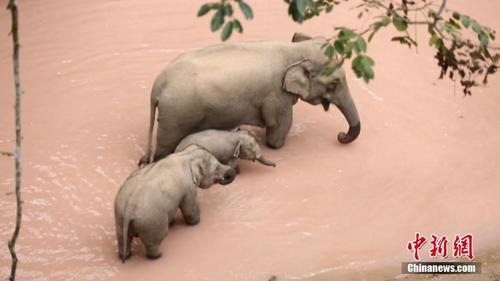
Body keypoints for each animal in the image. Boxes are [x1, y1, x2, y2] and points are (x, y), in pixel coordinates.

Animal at [139, 32, 362, 164]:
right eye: (334, 84)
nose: (341, 135)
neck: (294, 51)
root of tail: (157, 86)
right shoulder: (276, 95)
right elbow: (280, 126)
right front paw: (274, 145)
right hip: (175, 115)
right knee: (165, 146)